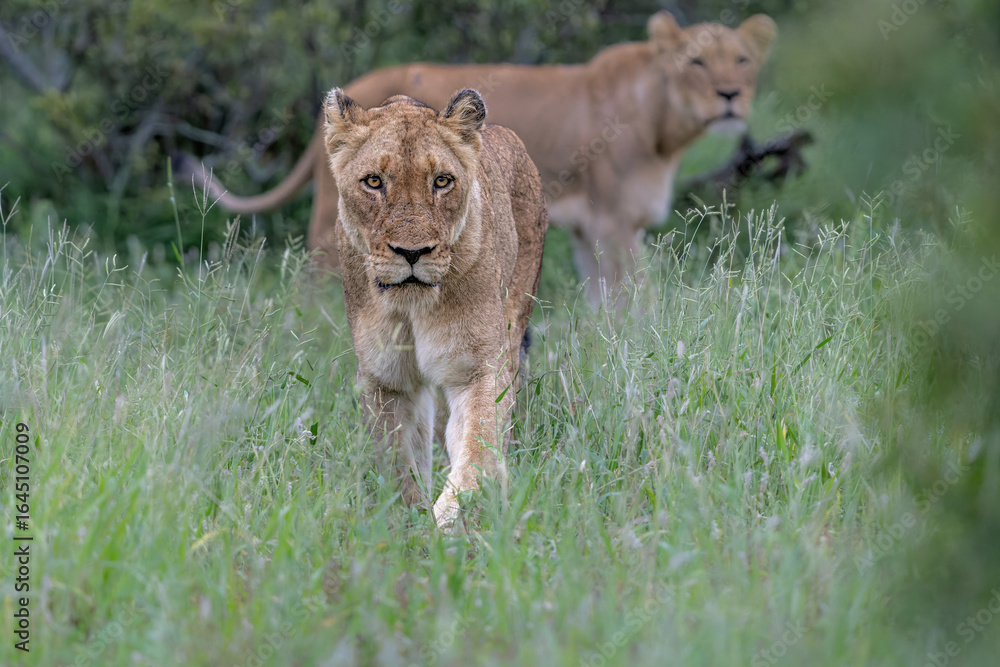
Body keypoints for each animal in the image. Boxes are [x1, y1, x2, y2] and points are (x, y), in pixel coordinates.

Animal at [185, 11, 775, 304]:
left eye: (742, 60)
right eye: (697, 62)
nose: (730, 95)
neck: (664, 125)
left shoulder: (588, 228)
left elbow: (601, 298)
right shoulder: (614, 222)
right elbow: (637, 296)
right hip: (339, 228)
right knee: (309, 289)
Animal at [323, 87, 547, 529]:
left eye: (442, 181)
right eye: (374, 181)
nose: (412, 253)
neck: (411, 308)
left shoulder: (479, 368)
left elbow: (478, 444)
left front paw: (451, 515)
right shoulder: (385, 380)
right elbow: (397, 460)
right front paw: (408, 523)